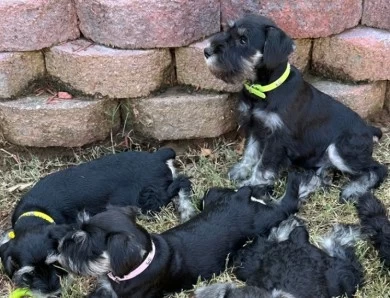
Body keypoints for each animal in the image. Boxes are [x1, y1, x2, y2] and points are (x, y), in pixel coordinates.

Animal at [0, 149, 193, 298]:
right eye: (29, 275)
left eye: (56, 264)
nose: (55, 293)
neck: (36, 210)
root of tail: (157, 156)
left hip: (148, 201)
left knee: (181, 183)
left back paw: (186, 210)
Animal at [54, 171, 316, 296]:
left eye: (86, 245)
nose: (59, 248)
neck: (140, 263)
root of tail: (241, 199)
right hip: (211, 196)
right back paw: (262, 188)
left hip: (267, 220)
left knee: (287, 205)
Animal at [204, 15, 386, 204]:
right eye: (228, 31)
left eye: (243, 40)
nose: (207, 51)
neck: (265, 89)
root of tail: (369, 130)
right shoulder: (256, 127)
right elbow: (251, 151)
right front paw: (241, 169)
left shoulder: (277, 138)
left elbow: (264, 164)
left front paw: (253, 183)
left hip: (341, 149)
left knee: (377, 168)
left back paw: (353, 190)